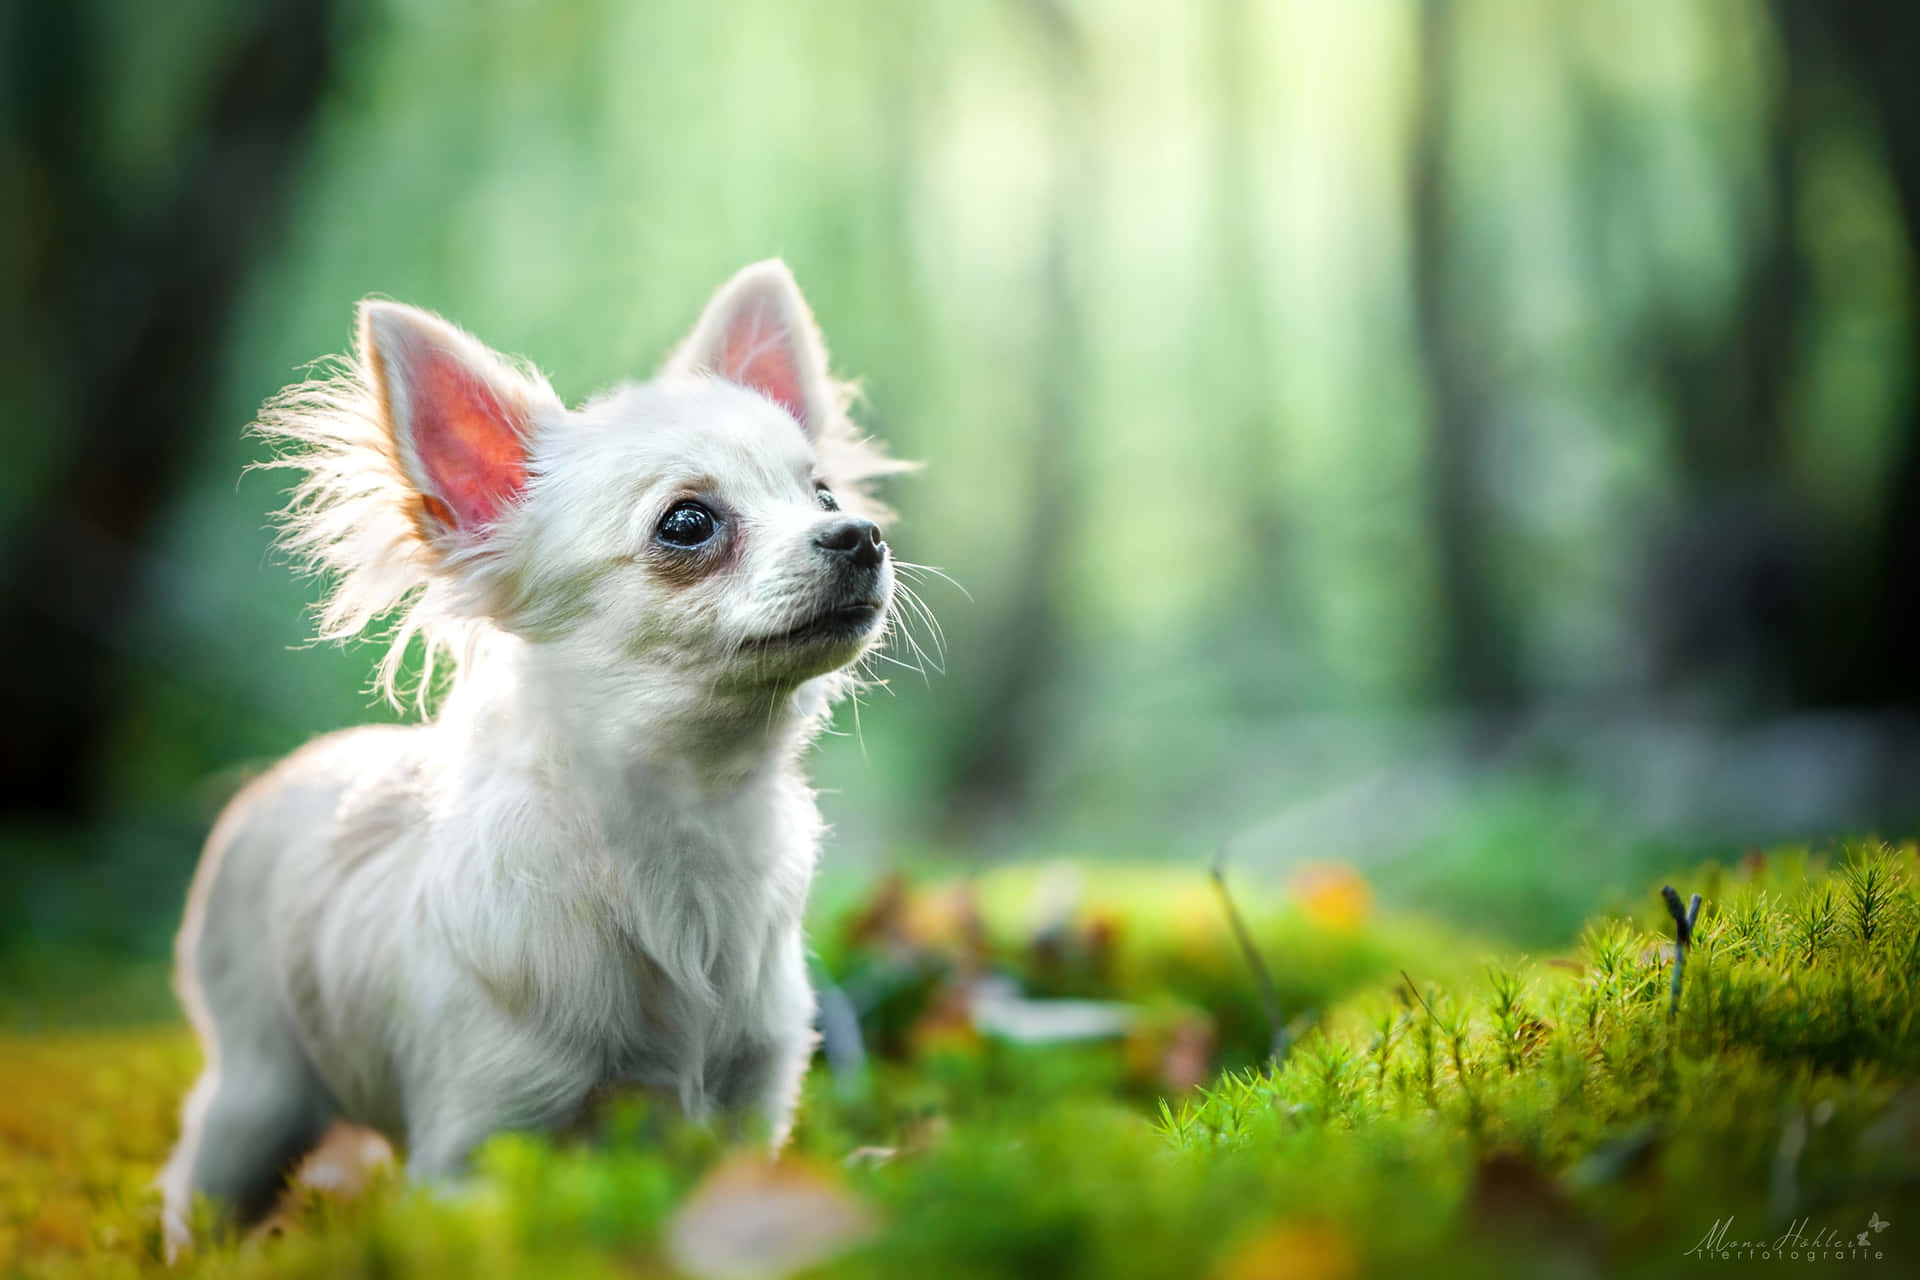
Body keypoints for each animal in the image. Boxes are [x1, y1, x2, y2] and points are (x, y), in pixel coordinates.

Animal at [159, 260, 906, 1251]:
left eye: (823, 495)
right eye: (688, 524)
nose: (859, 536)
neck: (684, 826)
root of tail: (275, 778)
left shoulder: (749, 1104)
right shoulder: (477, 1146)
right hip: (257, 1095)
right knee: (197, 1183)